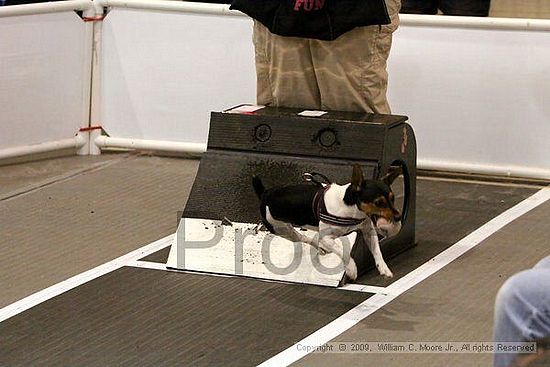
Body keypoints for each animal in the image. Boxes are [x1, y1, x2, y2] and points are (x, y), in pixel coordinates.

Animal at [252, 165, 404, 284]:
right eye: (378, 202)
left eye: (392, 198)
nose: (398, 217)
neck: (349, 206)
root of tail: (265, 193)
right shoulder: (327, 238)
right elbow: (343, 252)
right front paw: (351, 269)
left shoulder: (368, 231)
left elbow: (377, 251)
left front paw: (384, 268)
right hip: (282, 230)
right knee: (304, 238)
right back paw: (320, 246)